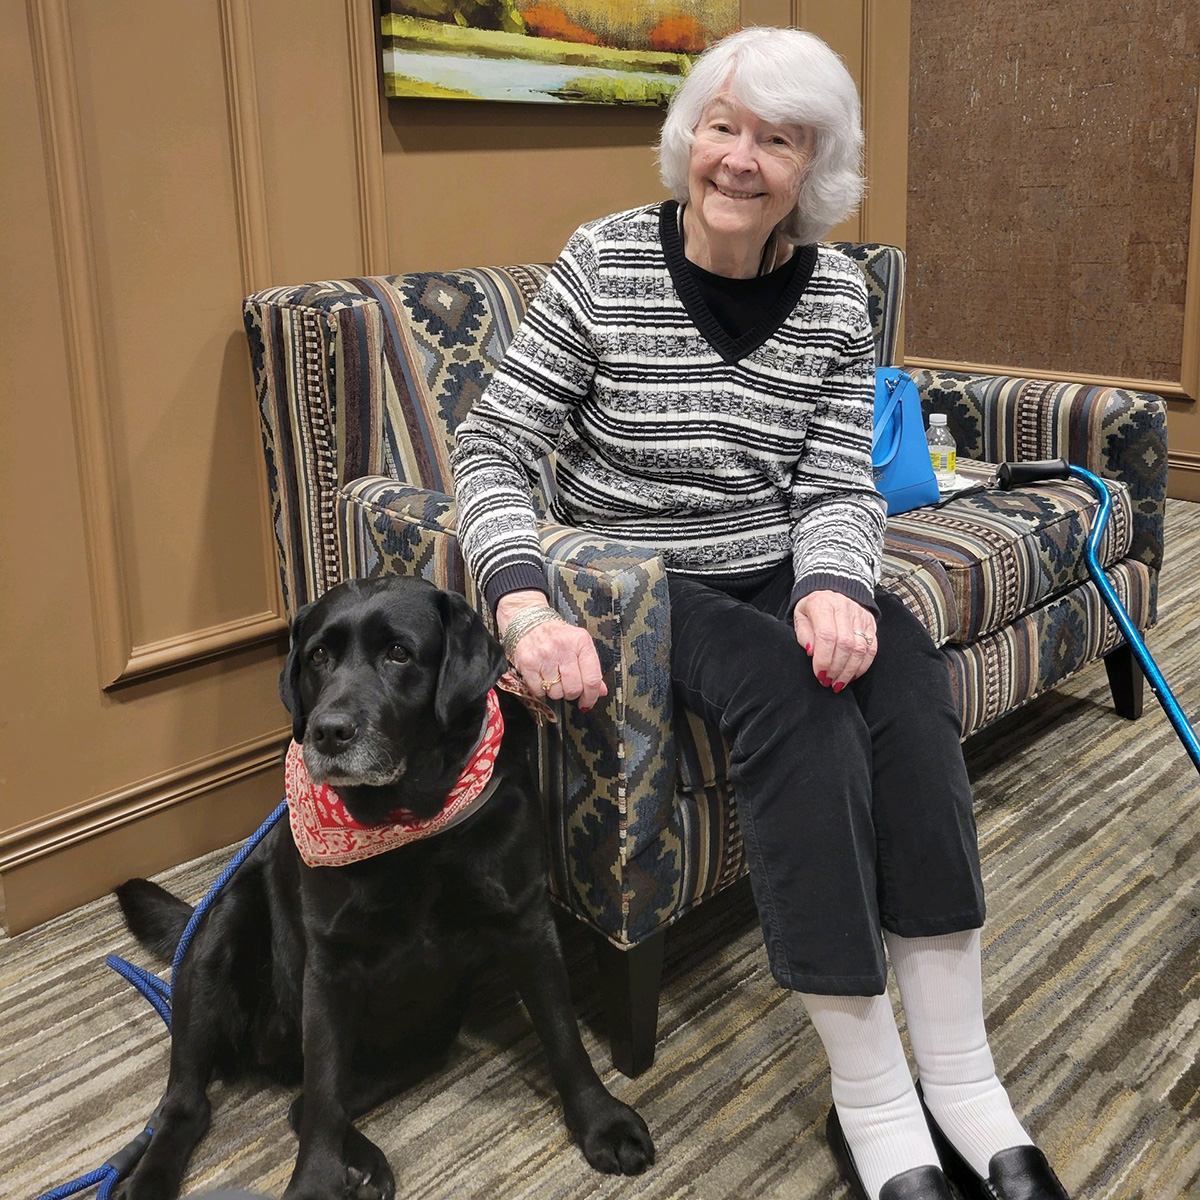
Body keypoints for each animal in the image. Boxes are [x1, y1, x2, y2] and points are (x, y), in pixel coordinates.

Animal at [113, 571, 657, 1200]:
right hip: (216, 939)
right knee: (189, 1105)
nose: (327, 731)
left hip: (428, 1031)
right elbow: (325, 1093)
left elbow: (563, 1033)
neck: (412, 823)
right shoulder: (328, 964)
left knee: (298, 1103)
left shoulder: (526, 922)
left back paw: (365, 1165)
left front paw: (601, 1120)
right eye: (318, 656)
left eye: (399, 653)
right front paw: (314, 1182)